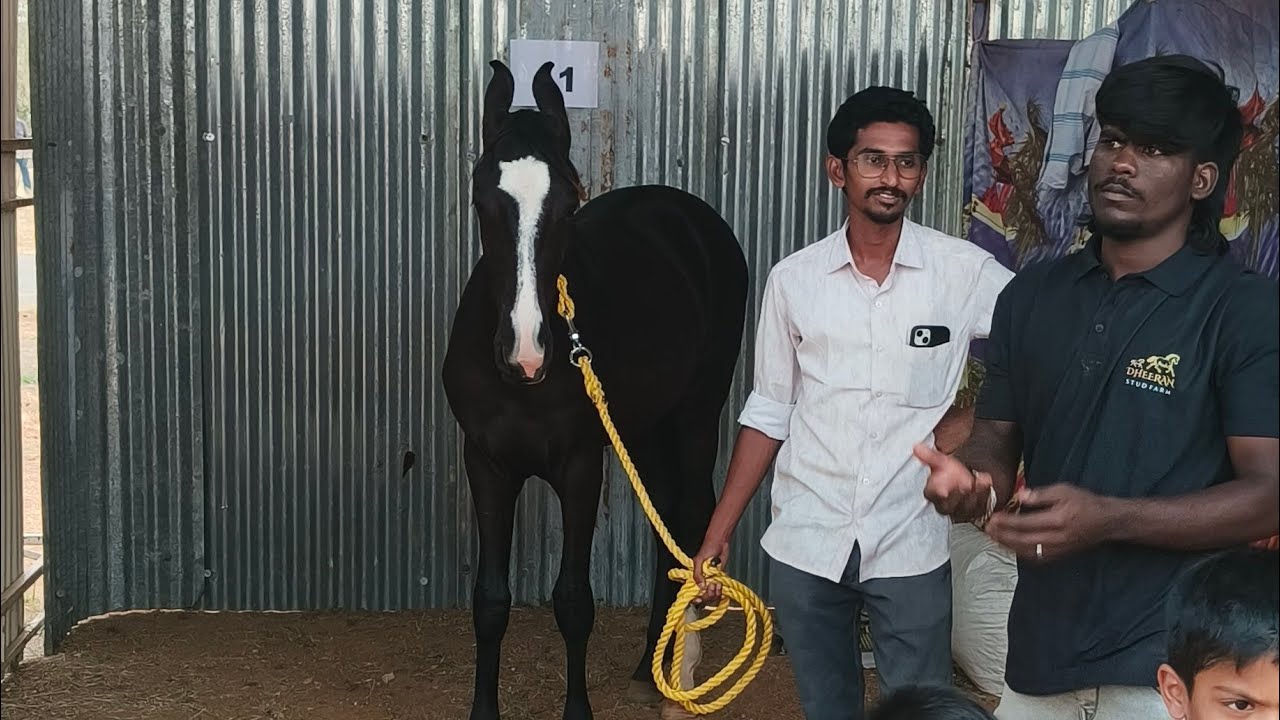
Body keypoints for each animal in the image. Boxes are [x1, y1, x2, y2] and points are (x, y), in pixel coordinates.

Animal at [440, 60, 749, 720]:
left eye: (568, 201)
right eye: (482, 199)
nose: (526, 353)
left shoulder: (581, 467)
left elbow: (574, 602)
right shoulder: (486, 465)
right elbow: (490, 601)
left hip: (695, 416)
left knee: (691, 518)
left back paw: (682, 674)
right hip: (645, 428)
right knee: (665, 530)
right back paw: (646, 667)